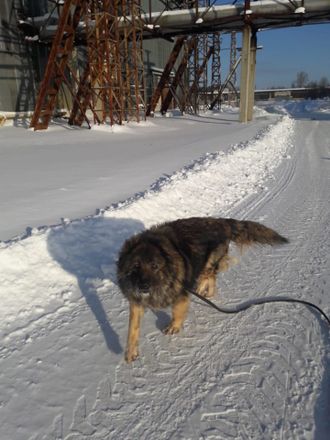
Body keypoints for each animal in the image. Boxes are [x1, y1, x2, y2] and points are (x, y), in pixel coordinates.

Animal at [117, 215, 288, 362]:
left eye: (154, 266)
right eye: (135, 267)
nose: (144, 286)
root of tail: (221, 221)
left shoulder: (181, 293)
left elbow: (177, 311)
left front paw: (174, 326)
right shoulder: (136, 301)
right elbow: (132, 328)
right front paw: (130, 351)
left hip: (209, 261)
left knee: (210, 275)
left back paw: (203, 290)